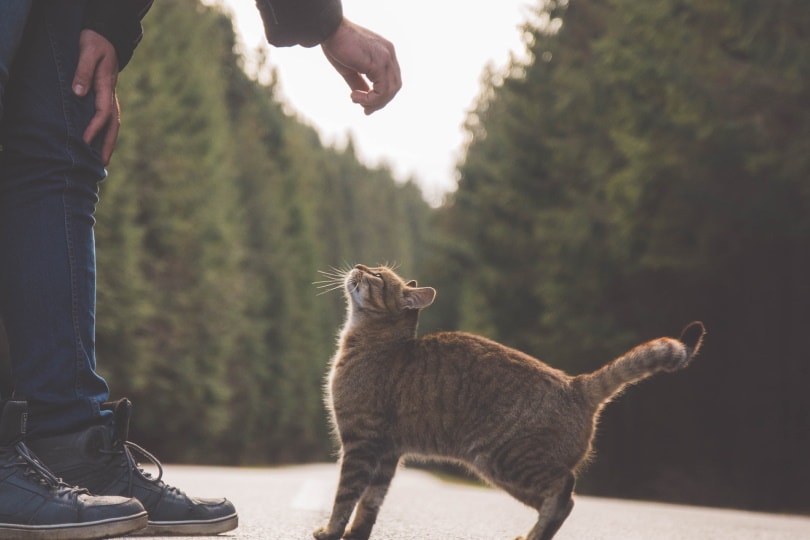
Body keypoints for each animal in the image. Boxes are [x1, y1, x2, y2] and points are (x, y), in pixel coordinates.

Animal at [312, 264, 704, 536]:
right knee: (563, 501)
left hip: (507, 460)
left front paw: (331, 532)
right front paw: (355, 535)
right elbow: (370, 504)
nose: (359, 264)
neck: (374, 341)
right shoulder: (388, 452)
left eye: (376, 275)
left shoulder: (361, 442)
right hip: (505, 474)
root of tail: (576, 384)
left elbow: (346, 496)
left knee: (564, 490)